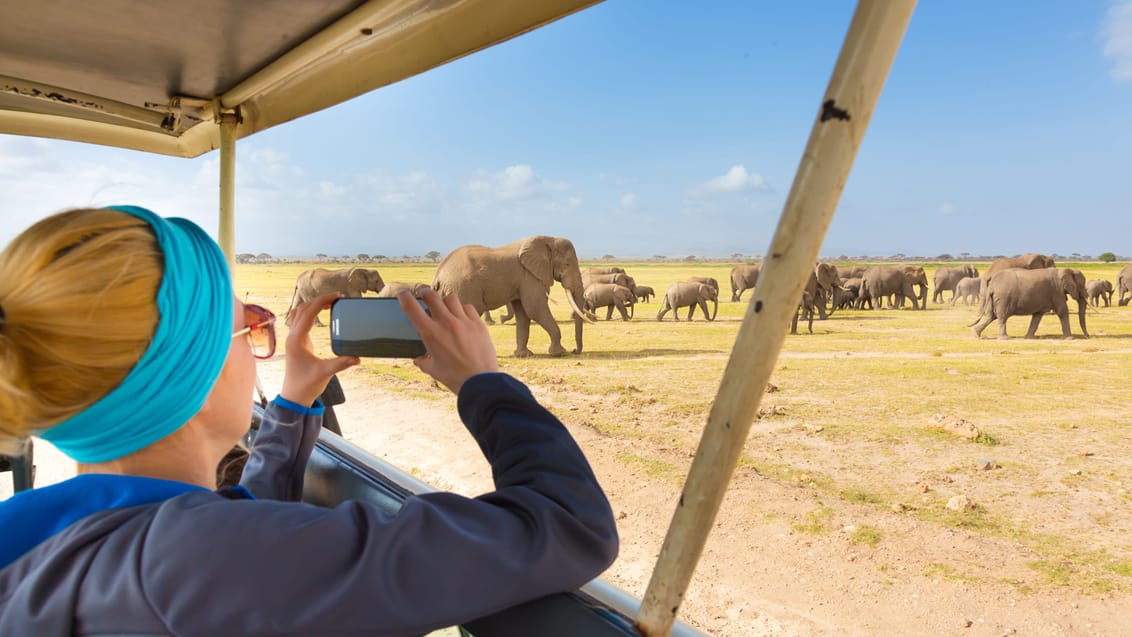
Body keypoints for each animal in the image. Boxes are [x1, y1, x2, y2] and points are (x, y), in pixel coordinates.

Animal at [430, 235, 597, 359]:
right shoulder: (529, 276)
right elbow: (535, 309)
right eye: (567, 264)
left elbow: (523, 313)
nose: (575, 350)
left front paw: (524, 355)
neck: (548, 239)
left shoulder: (523, 279)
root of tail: (438, 275)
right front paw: (559, 353)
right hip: (462, 289)